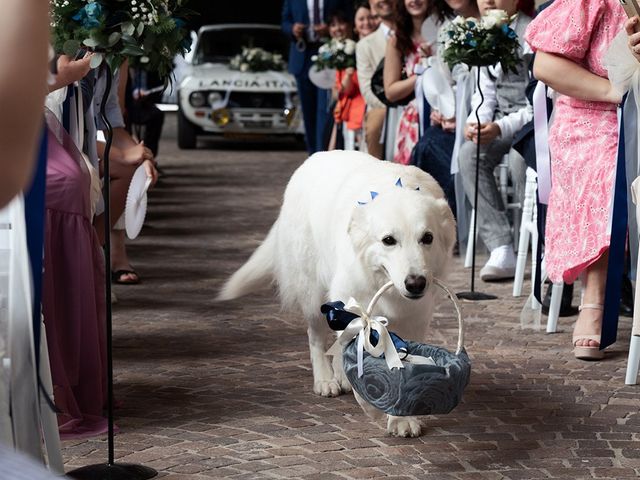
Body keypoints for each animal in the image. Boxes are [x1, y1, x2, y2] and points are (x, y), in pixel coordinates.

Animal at [219, 152, 456, 436]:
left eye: (427, 238)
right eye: (389, 240)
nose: (416, 283)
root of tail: (314, 157)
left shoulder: (414, 320)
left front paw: (401, 418)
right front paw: (370, 403)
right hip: (314, 296)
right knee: (316, 338)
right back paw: (325, 379)